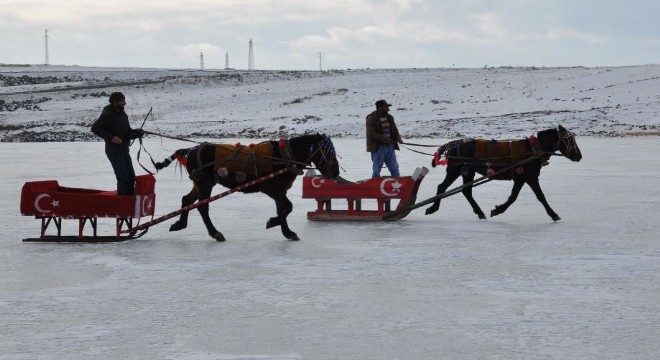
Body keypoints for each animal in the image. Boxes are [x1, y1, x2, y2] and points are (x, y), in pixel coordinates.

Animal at [155, 134, 340, 240]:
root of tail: (191, 149)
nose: (336, 172)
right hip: (204, 182)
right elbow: (288, 207)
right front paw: (273, 222)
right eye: (326, 151)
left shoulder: (280, 190)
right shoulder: (272, 189)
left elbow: (283, 210)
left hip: (201, 182)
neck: (283, 156)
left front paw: (286, 232)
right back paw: (215, 233)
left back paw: (180, 224)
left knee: (187, 200)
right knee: (202, 207)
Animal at [426, 125, 580, 221]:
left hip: (468, 172)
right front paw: (554, 214)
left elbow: (513, 197)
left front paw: (498, 210)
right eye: (568, 139)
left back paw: (480, 212)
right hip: (455, 170)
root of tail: (453, 143)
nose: (579, 156)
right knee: (442, 187)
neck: (533, 150)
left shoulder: (521, 178)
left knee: (466, 191)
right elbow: (540, 196)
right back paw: (432, 208)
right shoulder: (530, 177)